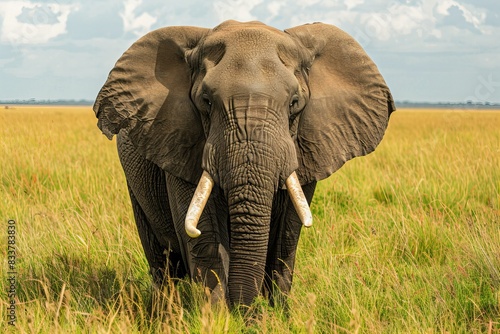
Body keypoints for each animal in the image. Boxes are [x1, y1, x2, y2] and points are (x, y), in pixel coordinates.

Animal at [93, 20, 394, 308]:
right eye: (206, 101)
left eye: (294, 103)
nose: (245, 309)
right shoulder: (178, 141)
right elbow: (204, 236)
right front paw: (219, 317)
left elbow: (287, 234)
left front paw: (276, 316)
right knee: (162, 264)